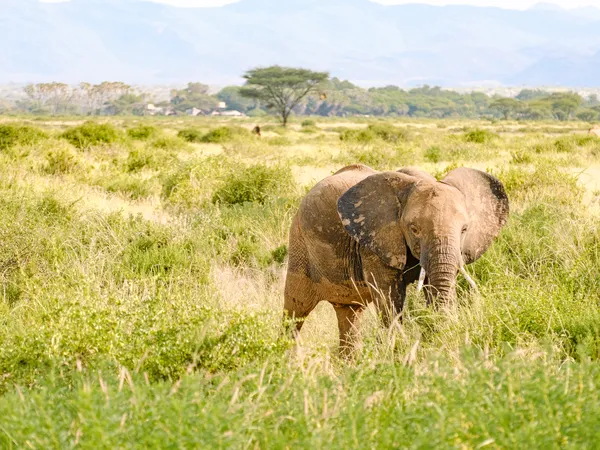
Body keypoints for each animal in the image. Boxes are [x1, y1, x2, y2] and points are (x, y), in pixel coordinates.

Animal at [284, 163, 508, 350]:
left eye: (464, 229)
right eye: (414, 229)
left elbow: (433, 287)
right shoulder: (375, 242)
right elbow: (390, 298)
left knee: (349, 314)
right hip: (299, 242)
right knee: (295, 311)